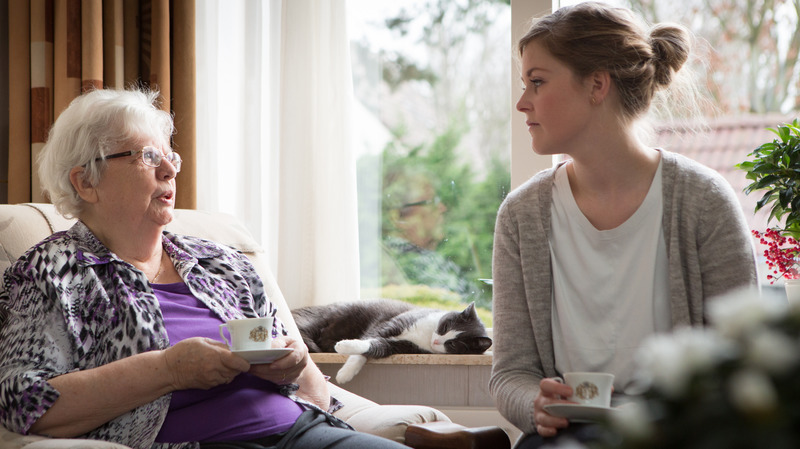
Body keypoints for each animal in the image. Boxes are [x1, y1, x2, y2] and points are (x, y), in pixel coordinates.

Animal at [292, 300, 490, 382]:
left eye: (454, 344)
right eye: (446, 326)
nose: (436, 341)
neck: (425, 337)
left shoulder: (399, 347)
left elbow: (372, 348)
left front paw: (345, 369)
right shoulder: (389, 324)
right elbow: (369, 338)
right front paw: (345, 367)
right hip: (322, 319)